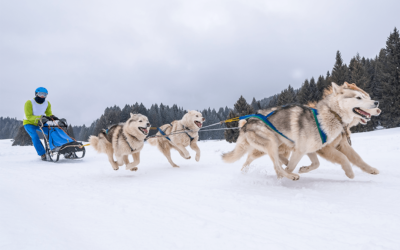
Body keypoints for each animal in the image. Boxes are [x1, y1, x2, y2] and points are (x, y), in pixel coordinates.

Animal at [220, 83, 380, 181]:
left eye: (367, 96)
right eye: (359, 97)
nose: (377, 103)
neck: (330, 115)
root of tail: (246, 123)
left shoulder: (311, 149)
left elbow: (317, 164)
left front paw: (303, 169)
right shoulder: (307, 150)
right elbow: (343, 158)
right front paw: (350, 173)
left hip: (276, 144)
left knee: (266, 159)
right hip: (270, 142)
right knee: (274, 165)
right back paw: (289, 175)